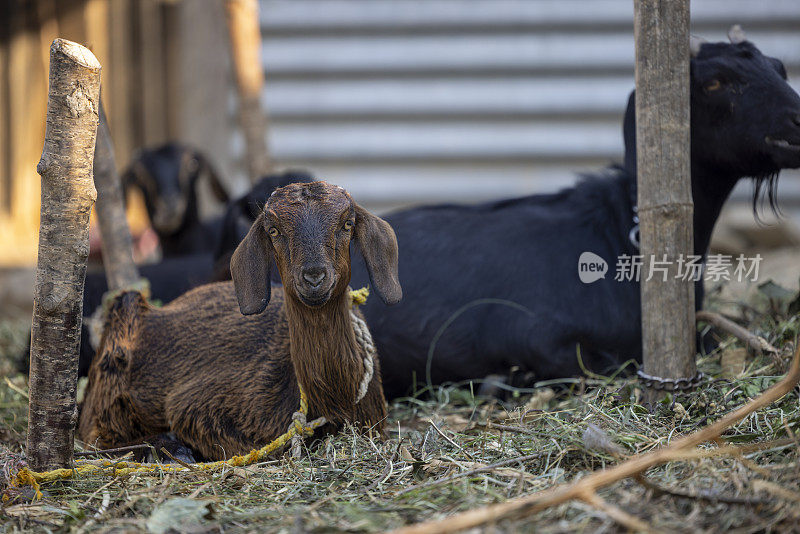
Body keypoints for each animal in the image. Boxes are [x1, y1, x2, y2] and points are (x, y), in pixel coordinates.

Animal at [76, 182, 400, 462]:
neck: (333, 398)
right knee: (95, 436)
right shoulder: (195, 406)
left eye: (348, 224)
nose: (314, 277)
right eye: (273, 230)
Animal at [352, 35, 800, 400]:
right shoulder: (534, 334)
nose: (797, 119)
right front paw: (504, 382)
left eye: (778, 68)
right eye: (715, 82)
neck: (620, 236)